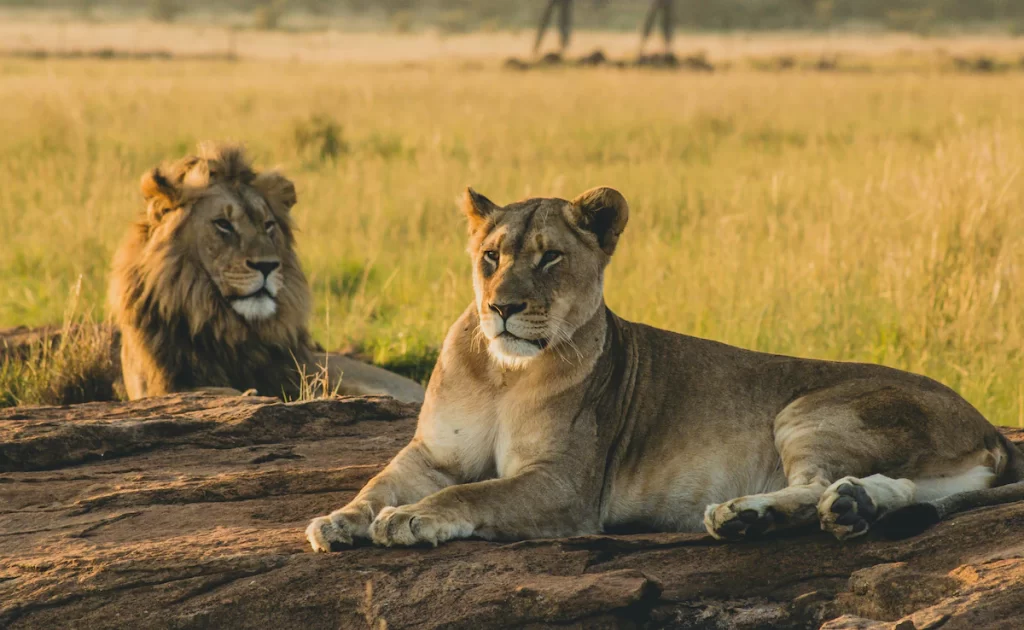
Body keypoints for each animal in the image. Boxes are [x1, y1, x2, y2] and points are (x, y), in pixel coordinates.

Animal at [303, 187, 1024, 553]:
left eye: (550, 258)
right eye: (491, 257)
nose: (502, 307)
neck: (504, 373)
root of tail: (990, 428)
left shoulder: (565, 485)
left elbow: (471, 496)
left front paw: (409, 520)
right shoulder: (433, 453)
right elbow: (380, 482)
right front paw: (339, 520)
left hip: (809, 408)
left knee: (819, 482)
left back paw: (748, 514)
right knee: (888, 489)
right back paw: (845, 507)